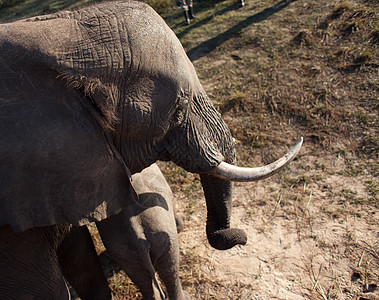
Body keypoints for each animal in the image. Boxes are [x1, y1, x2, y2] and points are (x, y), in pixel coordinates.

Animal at [58, 164, 189, 300]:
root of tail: (139, 239)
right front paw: (180, 226)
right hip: (160, 236)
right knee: (170, 270)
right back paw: (185, 295)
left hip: (127, 252)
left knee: (143, 278)